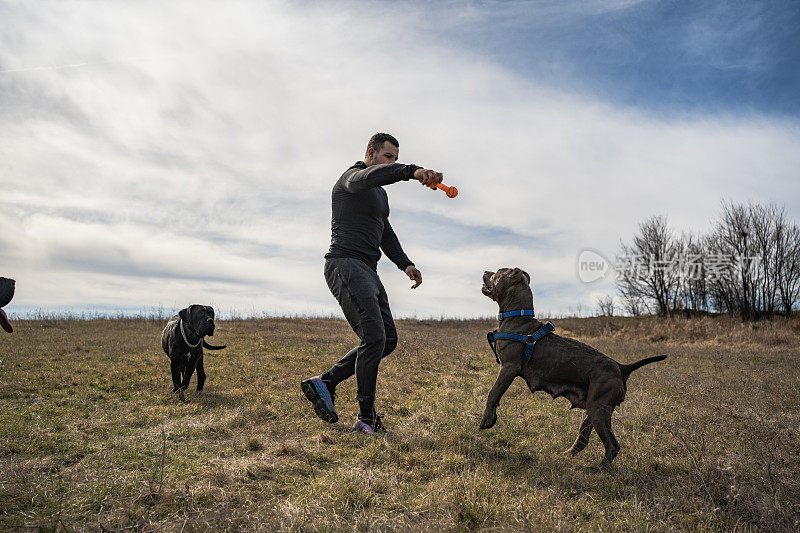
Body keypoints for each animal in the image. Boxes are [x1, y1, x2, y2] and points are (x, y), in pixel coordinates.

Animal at [482, 266, 668, 466]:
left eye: (497, 272)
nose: (485, 271)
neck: (517, 318)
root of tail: (621, 367)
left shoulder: (508, 368)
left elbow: (493, 393)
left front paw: (487, 420)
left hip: (598, 410)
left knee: (612, 445)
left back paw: (599, 468)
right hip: (593, 409)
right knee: (584, 438)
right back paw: (568, 454)